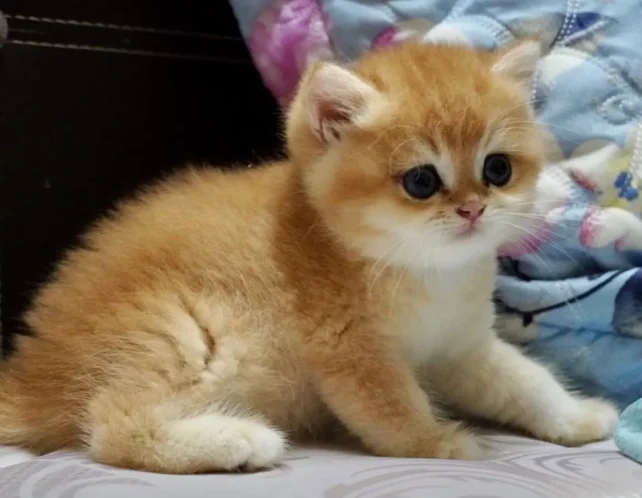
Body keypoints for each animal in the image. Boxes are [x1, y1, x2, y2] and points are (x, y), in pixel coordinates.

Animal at [0, 40, 616, 472]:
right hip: (177, 332)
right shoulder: (349, 350)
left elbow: (523, 381)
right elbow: (392, 406)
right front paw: (440, 442)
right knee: (111, 425)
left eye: (497, 169)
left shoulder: (460, 347)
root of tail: (31, 380)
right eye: (421, 181)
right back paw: (238, 440)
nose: (472, 209)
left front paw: (575, 415)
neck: (420, 271)